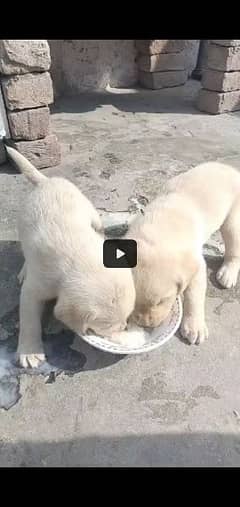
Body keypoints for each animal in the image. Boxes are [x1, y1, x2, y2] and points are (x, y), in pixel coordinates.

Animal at [6, 147, 135, 370]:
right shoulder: (35, 288)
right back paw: (24, 270)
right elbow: (29, 320)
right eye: (110, 327)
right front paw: (29, 352)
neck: (79, 255)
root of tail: (46, 181)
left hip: (91, 212)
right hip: (23, 227)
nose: (125, 326)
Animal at [127, 163, 240, 346]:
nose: (144, 324)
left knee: (234, 246)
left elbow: (194, 296)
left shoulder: (196, 266)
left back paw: (228, 273)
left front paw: (194, 327)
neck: (157, 235)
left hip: (232, 217)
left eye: (162, 301)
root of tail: (227, 167)